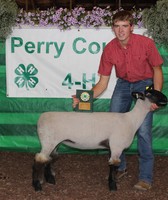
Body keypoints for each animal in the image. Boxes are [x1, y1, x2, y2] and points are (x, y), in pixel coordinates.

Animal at [31, 88, 167, 191]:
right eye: (149, 94)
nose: (165, 99)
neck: (131, 120)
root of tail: (40, 118)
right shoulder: (117, 146)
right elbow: (114, 165)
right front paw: (113, 186)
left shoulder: (112, 147)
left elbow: (112, 165)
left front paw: (112, 181)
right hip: (48, 141)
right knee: (39, 159)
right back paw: (37, 185)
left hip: (54, 142)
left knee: (49, 158)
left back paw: (50, 179)